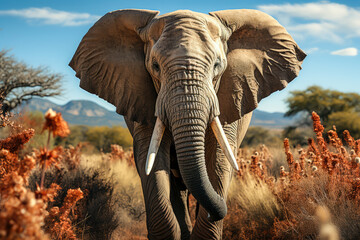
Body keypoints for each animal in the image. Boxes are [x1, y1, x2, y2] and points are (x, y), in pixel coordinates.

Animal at [69, 8, 306, 239]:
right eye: (155, 66)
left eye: (217, 66)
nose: (213, 212)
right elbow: (150, 159)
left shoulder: (231, 95)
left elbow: (218, 159)